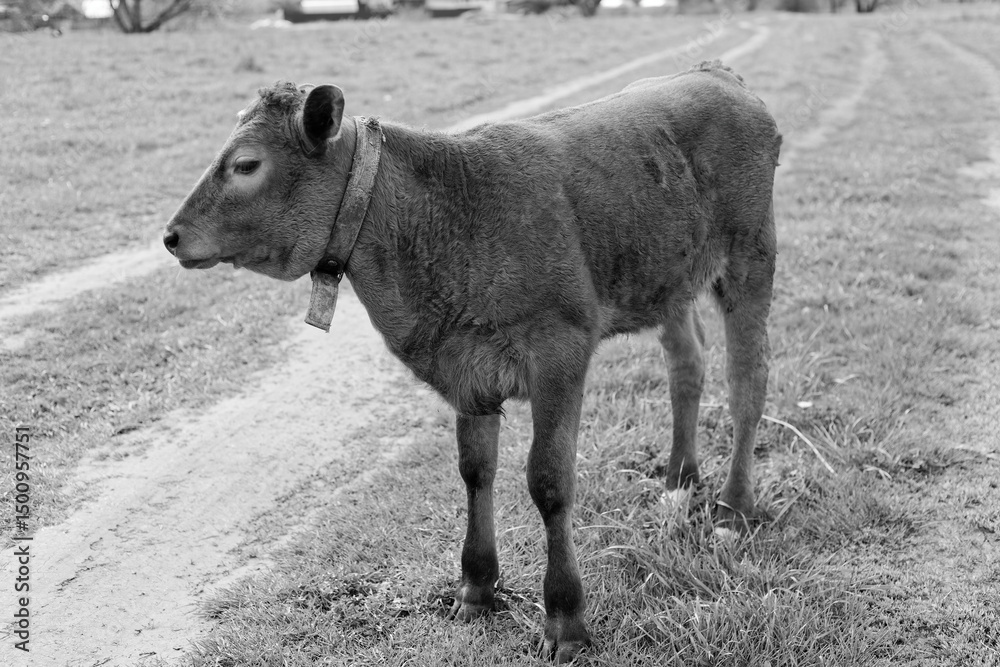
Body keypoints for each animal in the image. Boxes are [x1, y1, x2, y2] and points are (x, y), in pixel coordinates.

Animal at [163, 62, 781, 663]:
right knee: (687, 364)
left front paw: (566, 620)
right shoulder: (466, 367)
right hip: (668, 278)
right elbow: (474, 470)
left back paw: (733, 509)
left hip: (751, 255)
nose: (171, 236)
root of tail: (717, 75)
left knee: (747, 382)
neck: (445, 219)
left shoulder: (560, 349)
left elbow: (549, 481)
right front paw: (477, 589)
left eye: (246, 164)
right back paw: (680, 478)